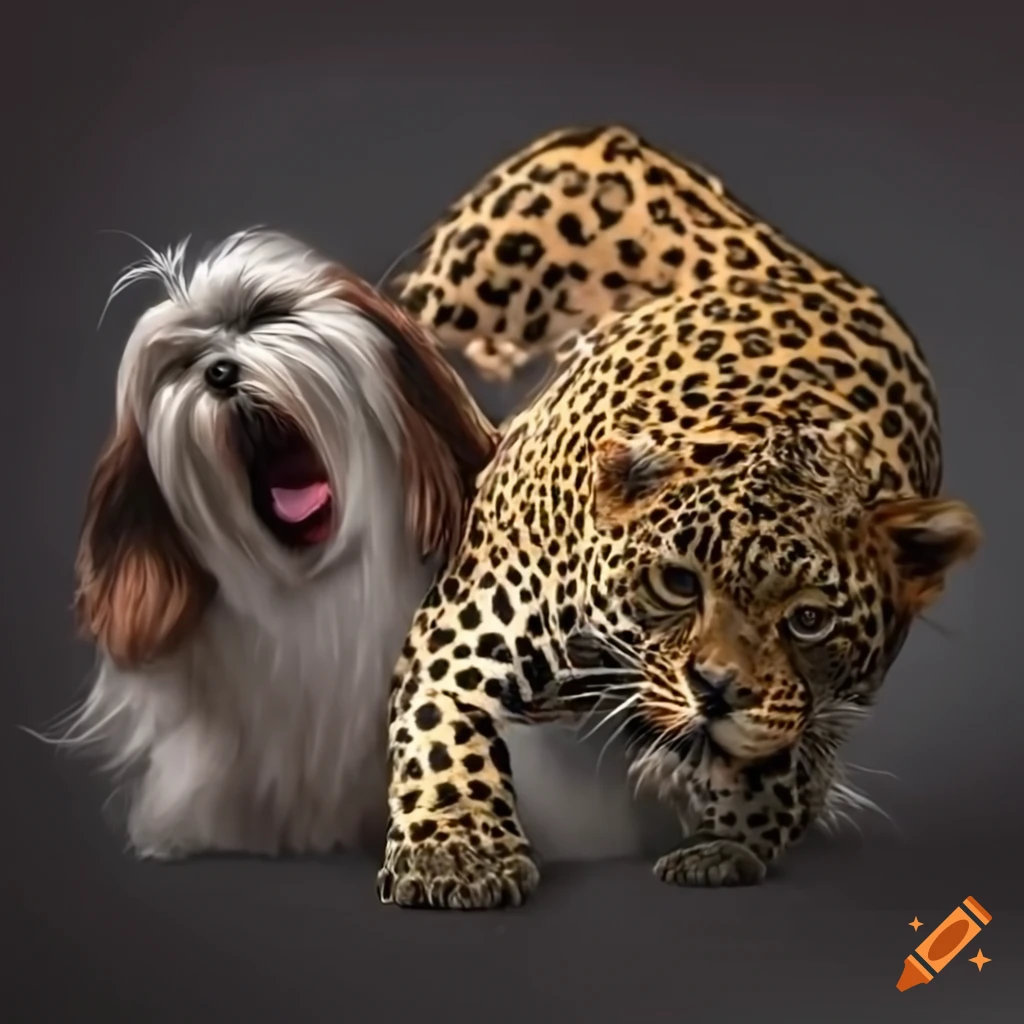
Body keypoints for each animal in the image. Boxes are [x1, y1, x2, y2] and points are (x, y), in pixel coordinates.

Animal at [377, 124, 982, 909]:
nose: (716, 692)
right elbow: (445, 740)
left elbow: (782, 762)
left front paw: (727, 845)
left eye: (809, 619)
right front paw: (454, 854)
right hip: (464, 279)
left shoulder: (808, 714)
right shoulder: (457, 646)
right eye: (677, 583)